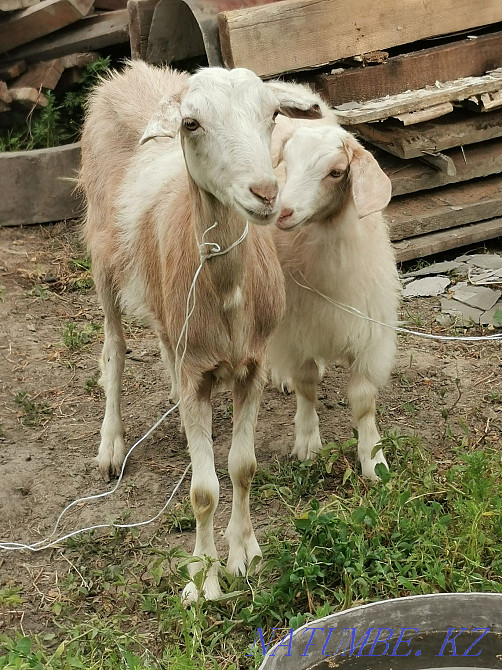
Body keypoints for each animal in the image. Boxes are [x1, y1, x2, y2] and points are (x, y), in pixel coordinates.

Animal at [79, 61, 323, 602]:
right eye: (191, 124)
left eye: (272, 114)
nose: (265, 193)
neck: (228, 293)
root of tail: (128, 71)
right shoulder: (198, 376)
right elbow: (204, 489)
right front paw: (203, 577)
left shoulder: (250, 366)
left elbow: (242, 467)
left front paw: (245, 554)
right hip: (104, 257)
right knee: (114, 350)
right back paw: (110, 447)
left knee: (161, 342)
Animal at [268, 120, 400, 480]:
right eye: (286, 162)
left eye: (337, 172)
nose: (282, 212)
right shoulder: (296, 330)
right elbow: (306, 384)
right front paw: (307, 443)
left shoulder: (368, 333)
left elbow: (363, 400)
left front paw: (373, 460)